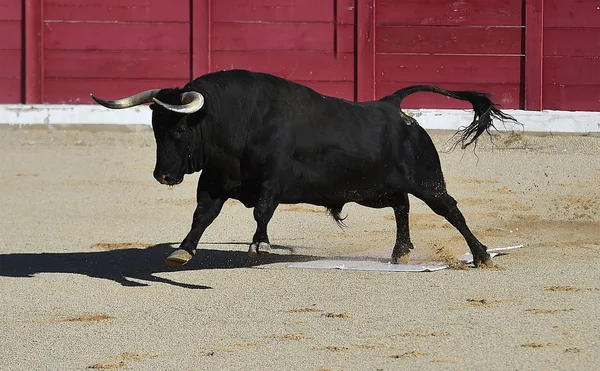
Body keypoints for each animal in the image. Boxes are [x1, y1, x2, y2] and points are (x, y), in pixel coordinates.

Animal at [91, 69, 516, 268]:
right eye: (155, 128)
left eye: (179, 129)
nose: (163, 175)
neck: (235, 123)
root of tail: (392, 106)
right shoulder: (214, 182)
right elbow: (202, 216)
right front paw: (182, 251)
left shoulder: (273, 181)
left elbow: (263, 210)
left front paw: (259, 244)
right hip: (372, 189)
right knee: (401, 205)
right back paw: (400, 254)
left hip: (426, 179)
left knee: (449, 209)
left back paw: (481, 255)